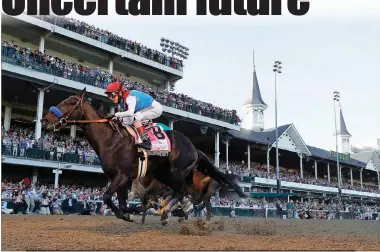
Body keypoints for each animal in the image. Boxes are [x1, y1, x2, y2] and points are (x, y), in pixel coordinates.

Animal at [39, 88, 246, 222]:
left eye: (70, 103)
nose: (44, 119)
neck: (110, 139)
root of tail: (195, 148)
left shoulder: (122, 175)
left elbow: (107, 197)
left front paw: (140, 210)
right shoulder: (121, 179)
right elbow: (120, 202)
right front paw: (128, 213)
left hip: (177, 172)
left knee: (183, 193)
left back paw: (170, 210)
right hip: (164, 175)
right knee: (183, 194)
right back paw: (169, 210)